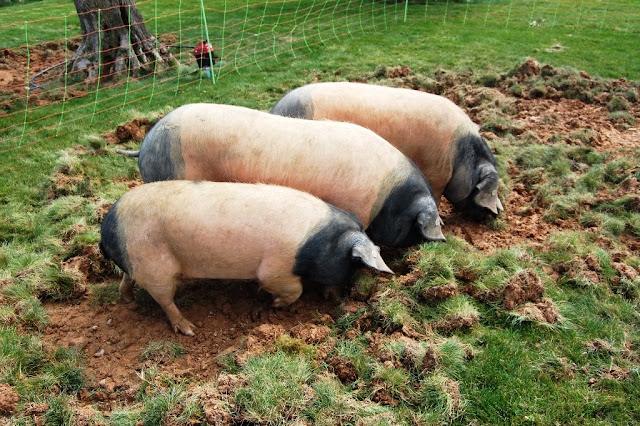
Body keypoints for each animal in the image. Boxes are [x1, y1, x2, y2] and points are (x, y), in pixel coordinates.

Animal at [99, 181, 393, 336]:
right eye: (351, 264)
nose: (337, 300)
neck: (317, 243)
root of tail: (108, 227)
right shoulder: (276, 268)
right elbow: (292, 290)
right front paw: (274, 305)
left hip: (139, 261)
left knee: (127, 279)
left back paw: (127, 301)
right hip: (154, 266)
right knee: (165, 301)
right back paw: (190, 329)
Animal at [269, 82, 504, 217]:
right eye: (480, 189)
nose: (495, 214)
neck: (459, 157)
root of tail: (276, 108)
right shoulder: (436, 174)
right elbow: (436, 199)